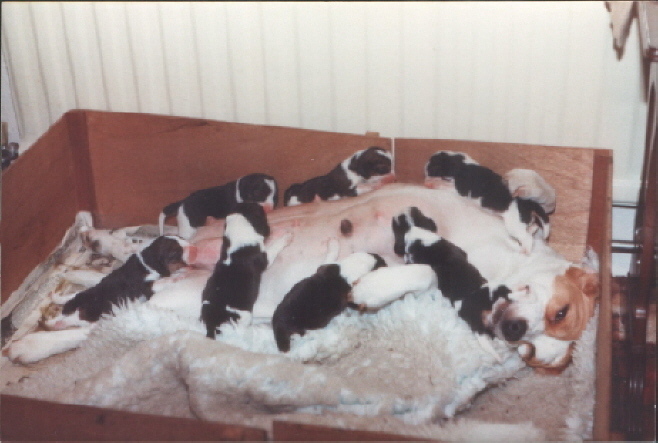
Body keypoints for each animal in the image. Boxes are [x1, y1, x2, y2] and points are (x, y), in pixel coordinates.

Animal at [43, 238, 191, 332]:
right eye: (176, 252)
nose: (193, 248)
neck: (146, 263)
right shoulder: (144, 287)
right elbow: (162, 281)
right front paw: (179, 276)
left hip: (81, 302)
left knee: (67, 305)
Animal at [420, 151, 548, 253]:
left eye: (432, 168)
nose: (425, 180)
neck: (463, 164)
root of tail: (527, 203)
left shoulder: (459, 189)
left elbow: (446, 186)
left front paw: (434, 184)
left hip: (514, 225)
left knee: (527, 238)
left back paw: (525, 251)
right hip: (523, 223)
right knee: (533, 227)